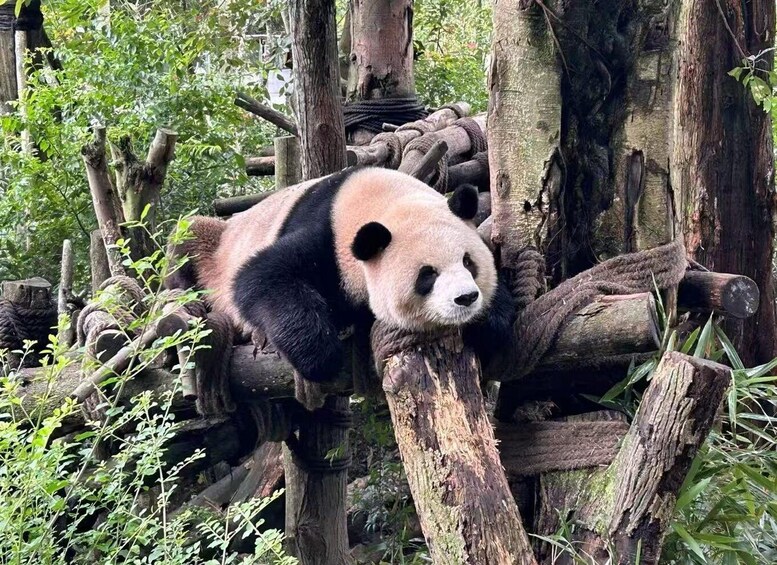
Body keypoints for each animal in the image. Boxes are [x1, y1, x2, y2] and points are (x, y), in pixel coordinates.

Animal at [165, 166, 516, 382]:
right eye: (427, 275)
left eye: (468, 262)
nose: (466, 298)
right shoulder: (326, 237)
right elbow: (261, 277)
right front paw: (320, 355)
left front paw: (489, 322)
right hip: (216, 248)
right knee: (188, 238)